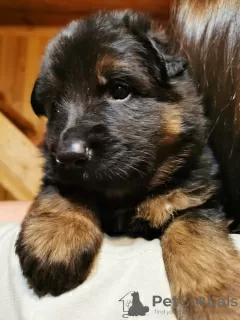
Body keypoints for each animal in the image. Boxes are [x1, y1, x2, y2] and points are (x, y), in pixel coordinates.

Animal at [15, 10, 240, 320]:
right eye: (55, 105)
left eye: (120, 90)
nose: (69, 154)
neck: (128, 194)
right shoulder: (61, 172)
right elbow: (64, 190)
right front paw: (55, 239)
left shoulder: (193, 197)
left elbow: (195, 235)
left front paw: (216, 299)